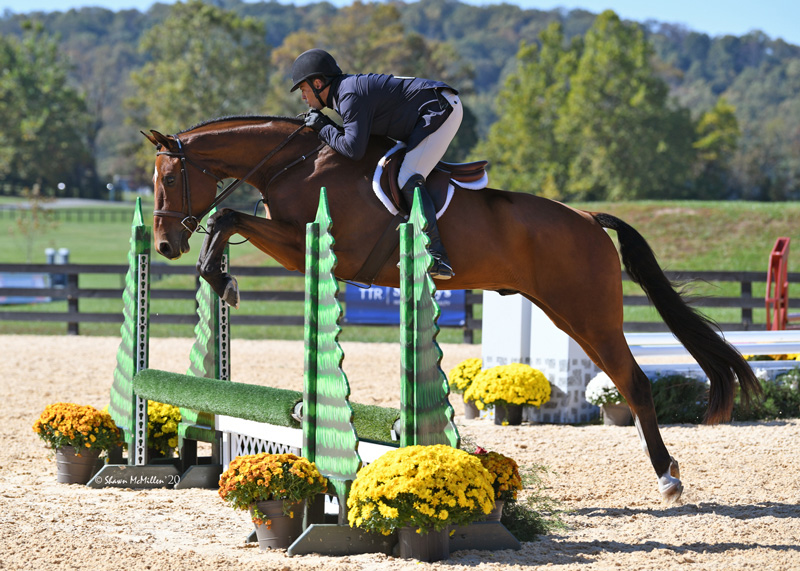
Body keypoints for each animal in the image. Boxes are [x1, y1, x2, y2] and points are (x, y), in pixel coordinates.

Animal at [144, 115, 761, 503]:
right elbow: (226, 221)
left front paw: (223, 280)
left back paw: (668, 479)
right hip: (569, 310)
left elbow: (228, 217)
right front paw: (220, 278)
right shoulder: (298, 244)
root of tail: (588, 218)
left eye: (170, 176)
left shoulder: (310, 244)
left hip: (587, 314)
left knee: (633, 382)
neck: (295, 161)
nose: (165, 246)